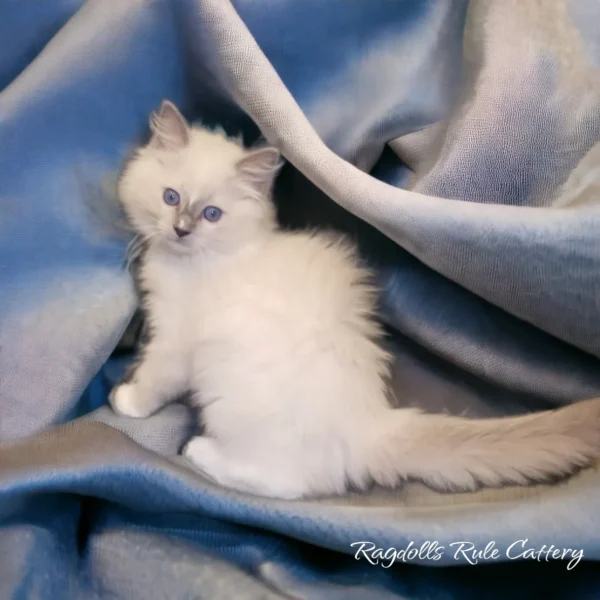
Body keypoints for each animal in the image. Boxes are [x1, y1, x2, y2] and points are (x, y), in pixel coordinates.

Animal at [109, 101, 600, 500]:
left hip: (231, 392)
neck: (209, 259)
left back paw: (200, 450)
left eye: (211, 214)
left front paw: (126, 399)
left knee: (288, 482)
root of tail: (369, 424)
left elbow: (155, 378)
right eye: (171, 197)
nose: (181, 229)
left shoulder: (177, 340)